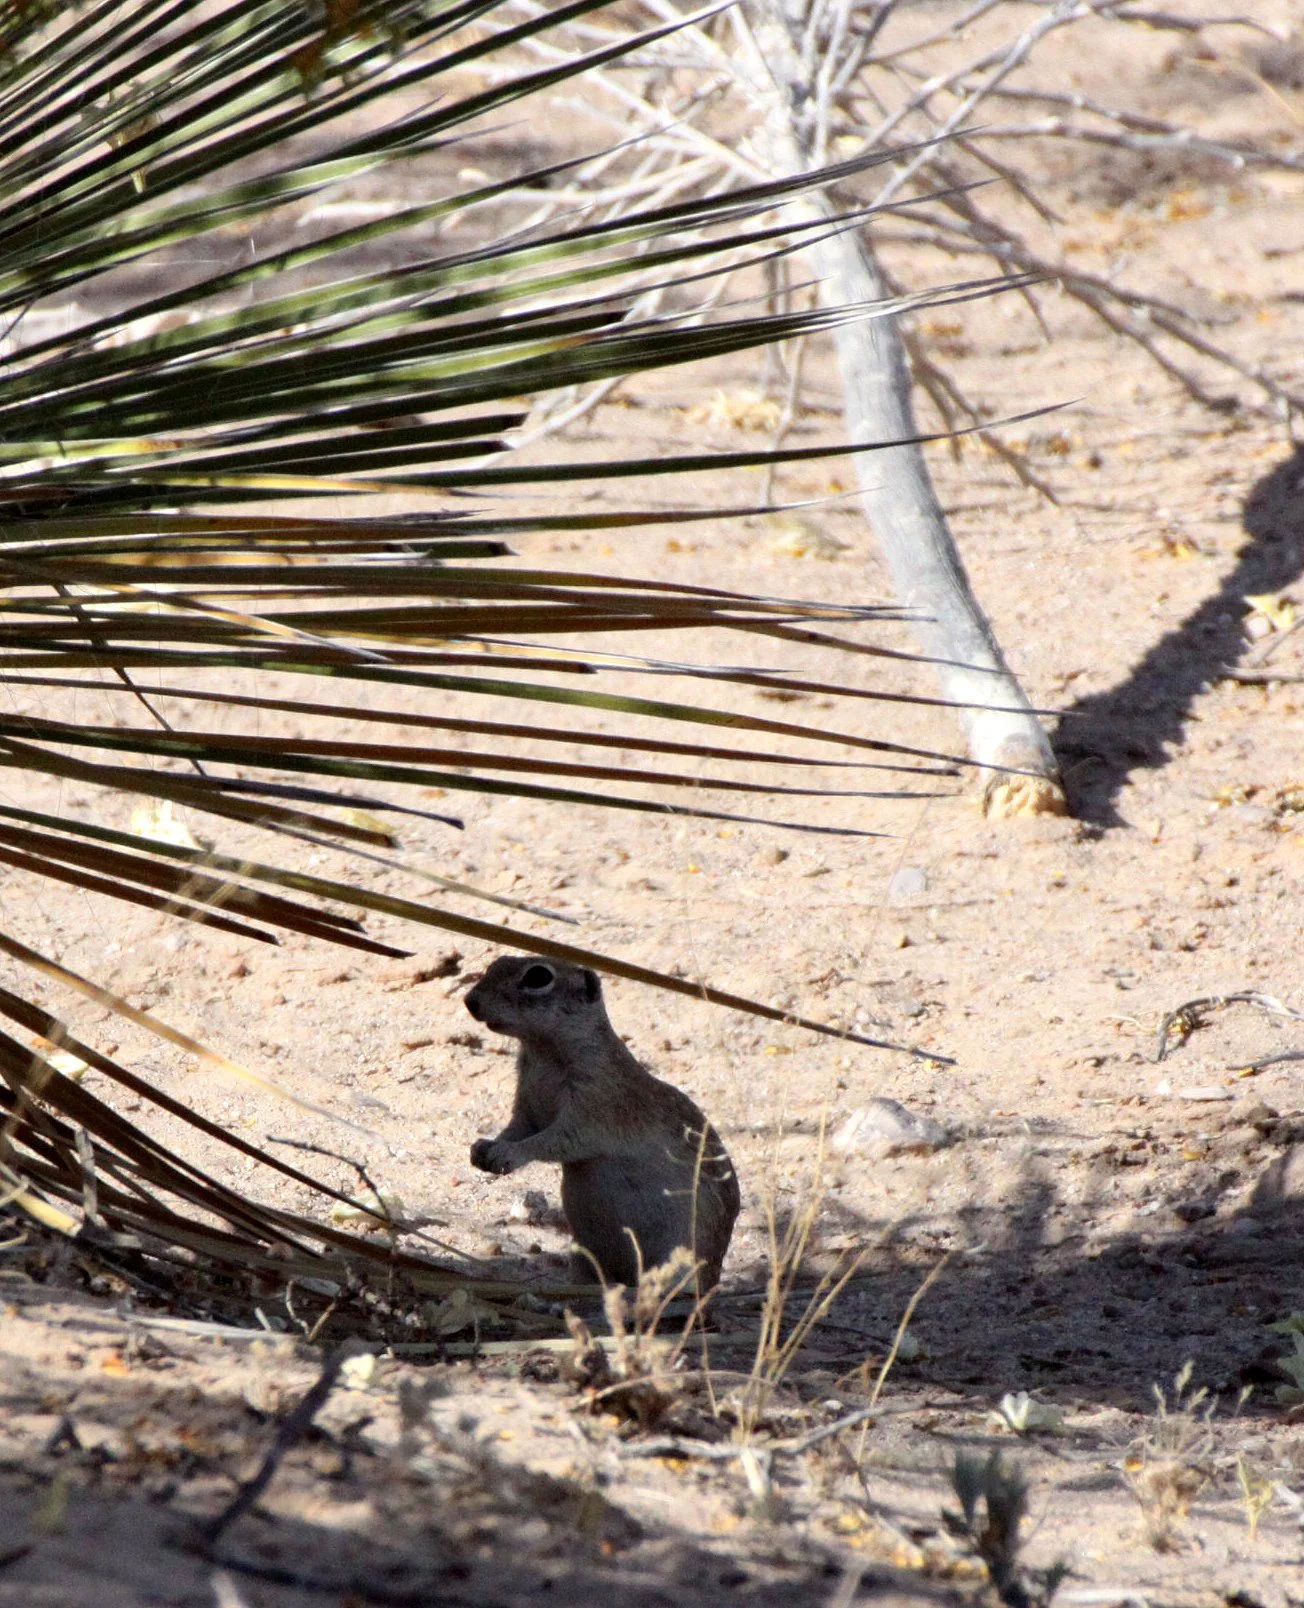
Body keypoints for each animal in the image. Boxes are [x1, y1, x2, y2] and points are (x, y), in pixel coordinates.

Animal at [465, 955, 740, 1294]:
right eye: (496, 963)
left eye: (538, 977)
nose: (470, 1001)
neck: (543, 1052)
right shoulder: (527, 1108)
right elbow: (516, 1130)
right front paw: (484, 1147)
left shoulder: (593, 1107)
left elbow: (550, 1140)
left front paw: (507, 1154)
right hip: (583, 1252)